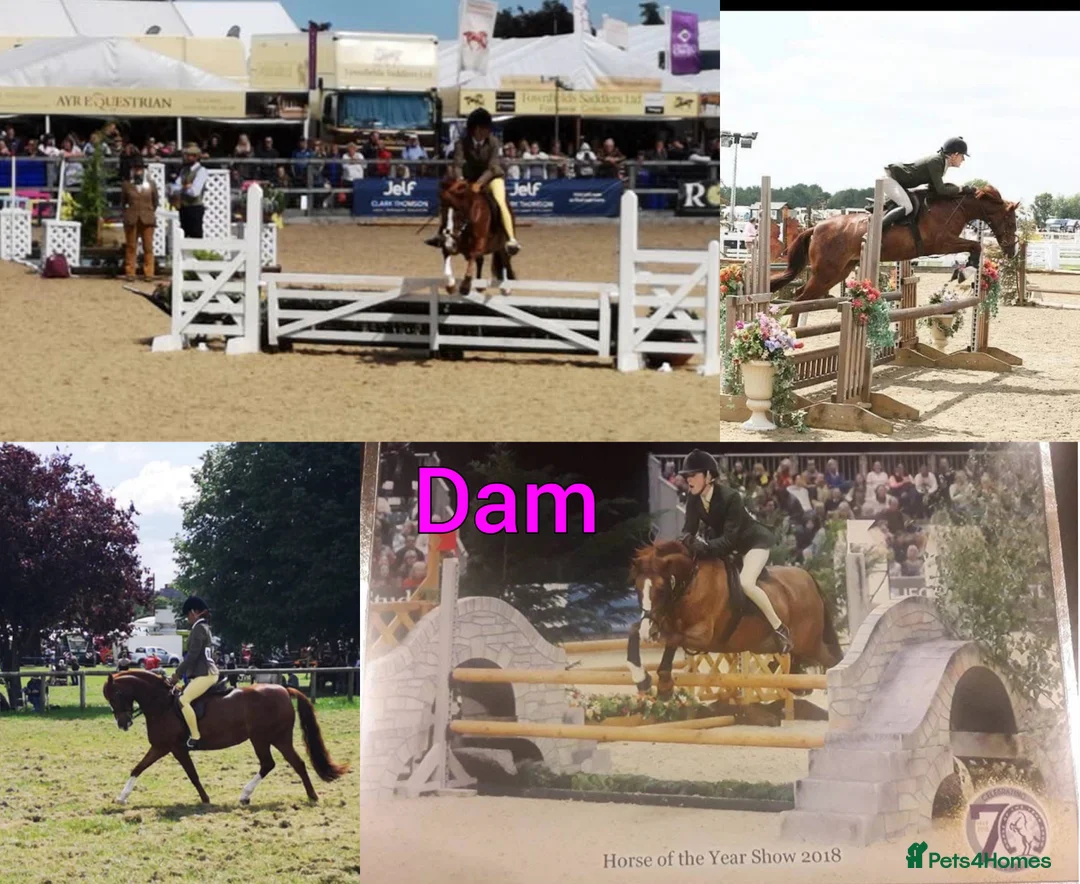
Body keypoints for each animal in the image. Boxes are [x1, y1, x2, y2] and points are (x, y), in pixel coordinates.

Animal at [103, 669, 348, 806]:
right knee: (293, 763)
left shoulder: (174, 748)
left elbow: (192, 775)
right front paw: (122, 798)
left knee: (273, 764)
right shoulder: (161, 747)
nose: (123, 724)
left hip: (265, 739)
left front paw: (205, 799)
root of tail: (284, 689)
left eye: (116, 694)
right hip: (276, 739)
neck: (161, 703)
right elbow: (137, 768)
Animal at [626, 540, 843, 698]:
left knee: (833, 661)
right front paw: (642, 679)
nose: (648, 633)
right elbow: (634, 631)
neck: (690, 583)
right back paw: (798, 686)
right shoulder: (663, 623)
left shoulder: (702, 636)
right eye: (637, 588)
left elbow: (673, 640)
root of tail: (808, 577)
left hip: (810, 642)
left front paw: (662, 685)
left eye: (661, 589)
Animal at [770, 185, 1019, 301]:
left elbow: (974, 247)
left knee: (802, 294)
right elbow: (975, 245)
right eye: (1010, 220)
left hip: (839, 271)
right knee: (801, 297)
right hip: (826, 271)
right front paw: (965, 271)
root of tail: (816, 227)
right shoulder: (941, 243)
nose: (1011, 249)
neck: (952, 207)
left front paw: (964, 271)